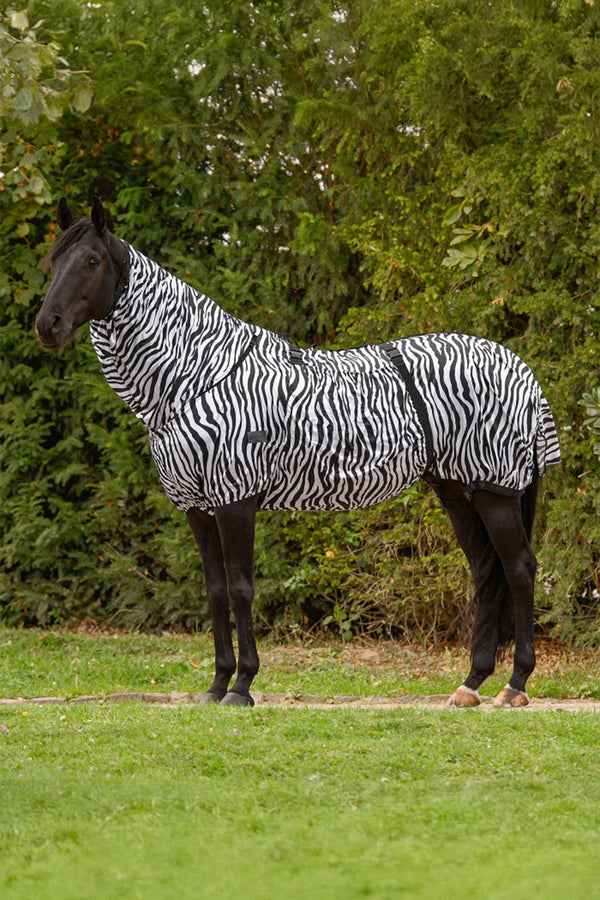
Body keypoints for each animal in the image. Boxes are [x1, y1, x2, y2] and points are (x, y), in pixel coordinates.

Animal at [35, 197, 561, 708]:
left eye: (91, 261)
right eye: (53, 260)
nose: (47, 326)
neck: (196, 375)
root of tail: (521, 369)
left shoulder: (235, 500)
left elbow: (242, 590)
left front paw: (242, 687)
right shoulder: (197, 508)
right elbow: (215, 592)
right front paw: (216, 685)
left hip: (495, 491)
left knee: (519, 569)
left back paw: (515, 685)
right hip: (457, 492)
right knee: (486, 573)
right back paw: (471, 685)